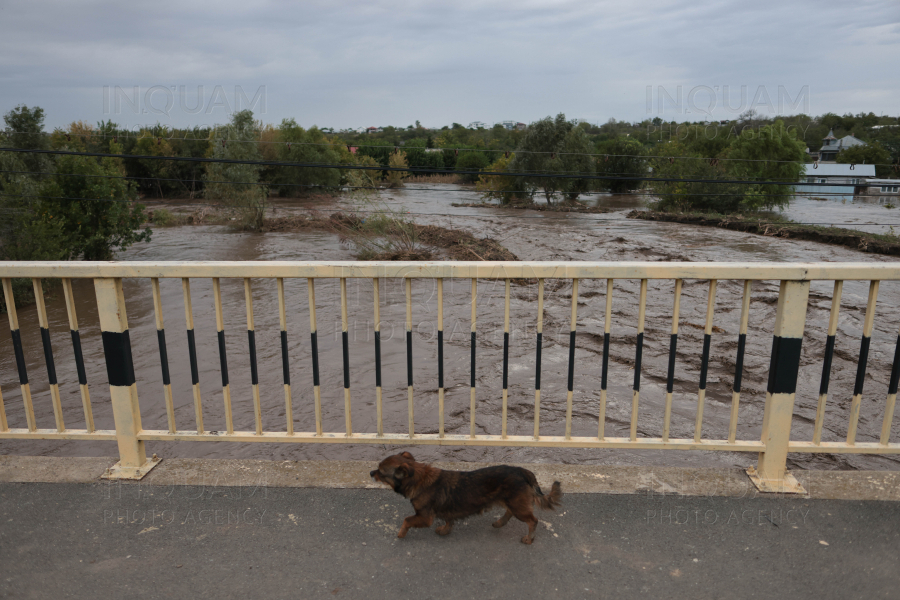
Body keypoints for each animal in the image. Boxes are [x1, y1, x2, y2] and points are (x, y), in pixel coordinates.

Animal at [370, 452, 560, 548]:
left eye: (381, 472)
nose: (371, 473)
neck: (419, 477)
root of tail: (523, 471)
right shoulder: (446, 511)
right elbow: (449, 520)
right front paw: (445, 530)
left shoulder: (424, 517)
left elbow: (406, 520)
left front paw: (401, 533)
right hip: (513, 502)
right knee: (509, 512)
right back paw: (499, 523)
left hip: (518, 506)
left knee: (533, 521)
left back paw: (529, 539)